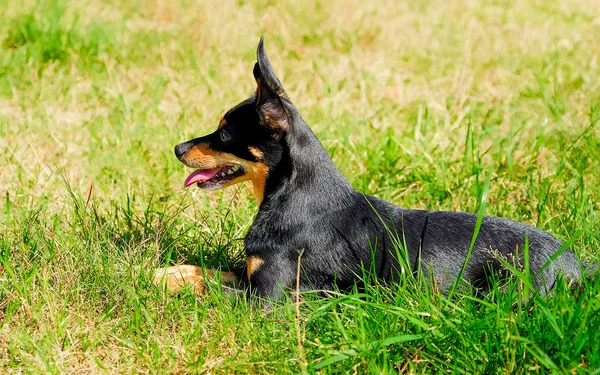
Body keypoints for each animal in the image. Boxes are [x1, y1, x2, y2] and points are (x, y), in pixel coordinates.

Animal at [152, 37, 588, 302]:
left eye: (225, 132)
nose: (178, 148)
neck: (289, 197)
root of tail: (581, 267)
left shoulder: (271, 299)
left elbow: (209, 288)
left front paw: (164, 282)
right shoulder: (252, 277)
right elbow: (210, 270)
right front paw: (168, 272)